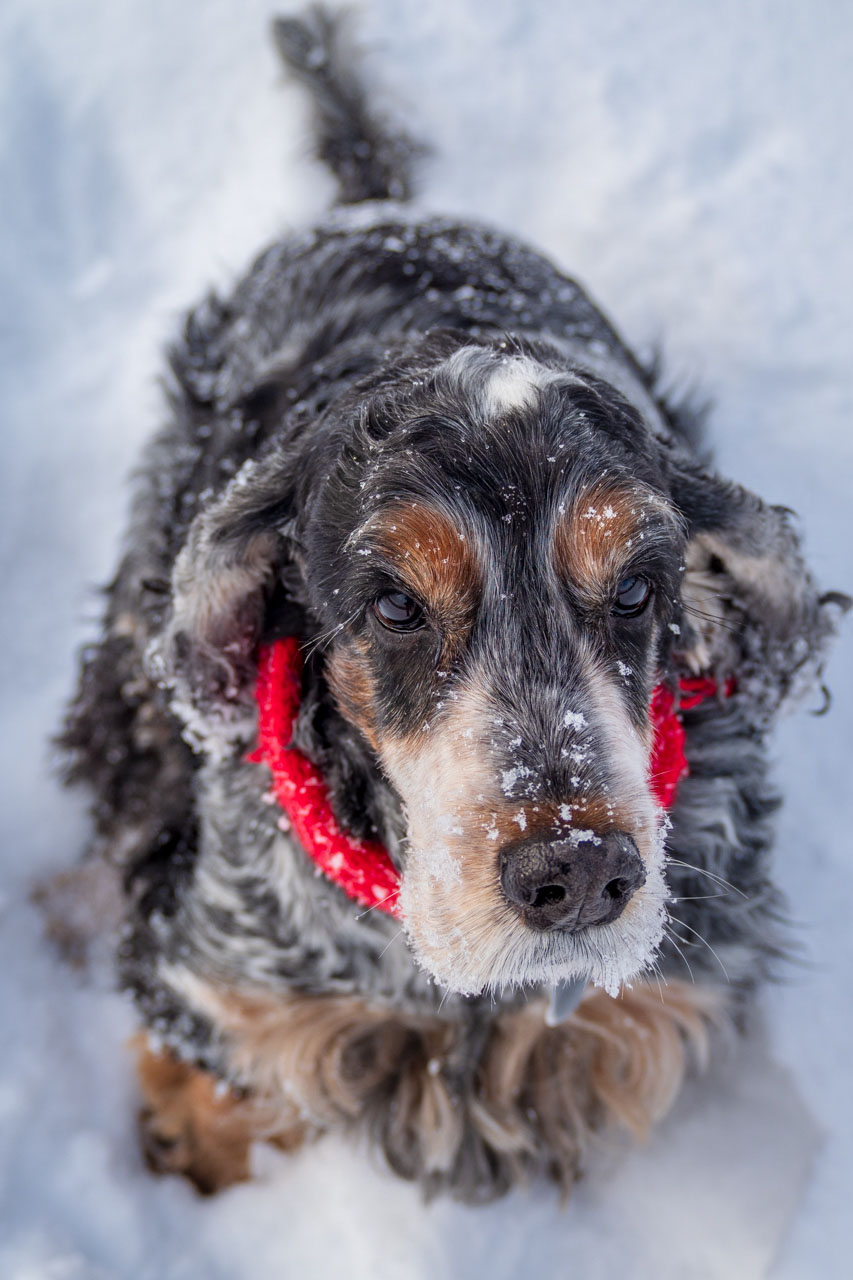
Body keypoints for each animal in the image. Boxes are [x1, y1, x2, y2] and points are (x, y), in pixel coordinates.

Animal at [59, 7, 845, 1198]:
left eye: (637, 589)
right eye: (393, 606)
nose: (580, 870)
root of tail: (381, 210)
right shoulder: (220, 995)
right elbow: (217, 1104)